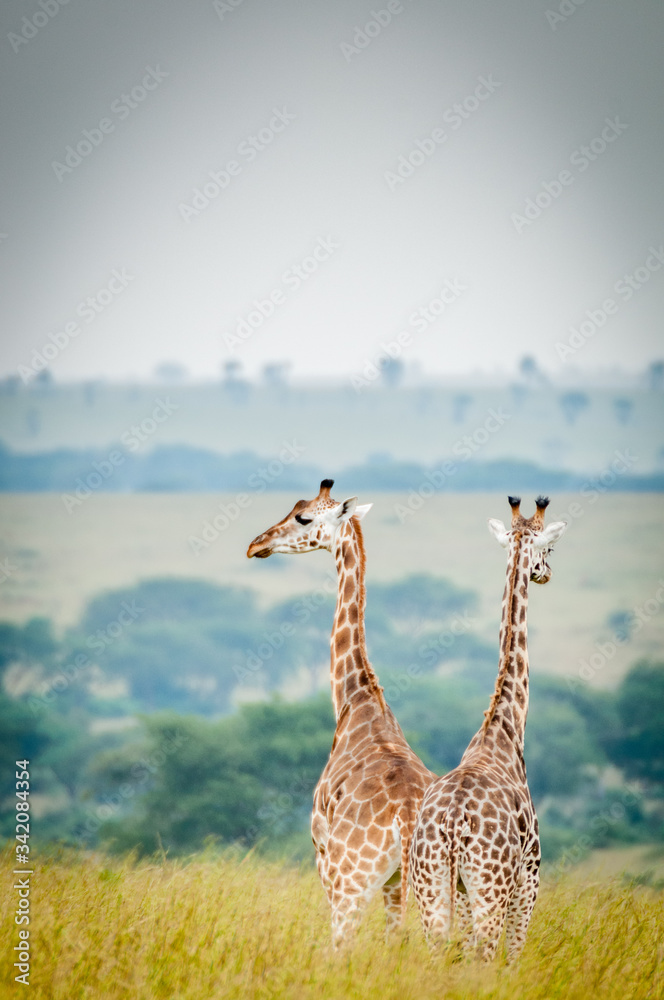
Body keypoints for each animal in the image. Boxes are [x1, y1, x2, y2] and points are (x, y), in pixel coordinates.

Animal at [247, 479, 436, 945]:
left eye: (303, 517)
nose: (256, 544)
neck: (356, 699)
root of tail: (406, 819)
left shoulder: (321, 853)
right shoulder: (391, 883)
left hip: (351, 879)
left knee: (340, 943)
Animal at [409, 496, 567, 962]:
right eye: (549, 548)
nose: (547, 572)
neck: (506, 727)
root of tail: (453, 825)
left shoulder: (461, 891)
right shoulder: (529, 875)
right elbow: (513, 956)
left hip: (432, 885)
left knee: (439, 950)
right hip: (490, 887)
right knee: (485, 952)